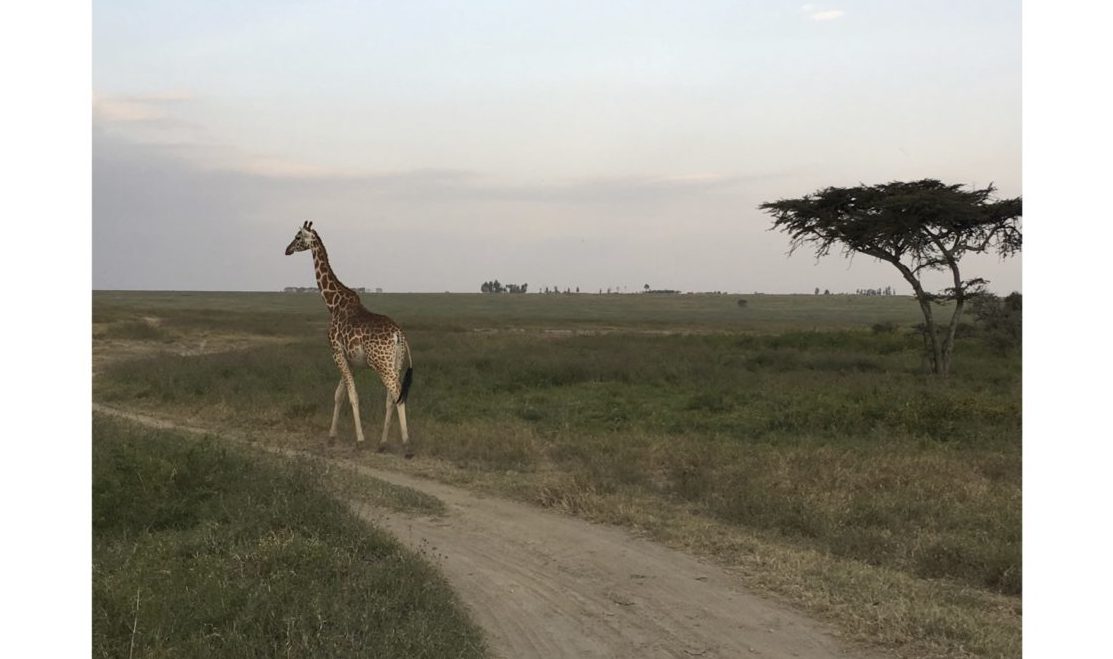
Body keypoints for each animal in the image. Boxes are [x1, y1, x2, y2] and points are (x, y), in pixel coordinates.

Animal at [284, 221, 416, 458]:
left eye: (298, 236)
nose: (287, 249)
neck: (333, 304)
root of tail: (398, 335)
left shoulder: (336, 352)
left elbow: (352, 395)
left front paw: (360, 441)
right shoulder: (351, 360)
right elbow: (339, 394)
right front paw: (331, 437)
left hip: (382, 364)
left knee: (397, 393)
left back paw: (407, 446)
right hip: (396, 362)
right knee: (391, 398)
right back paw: (382, 443)